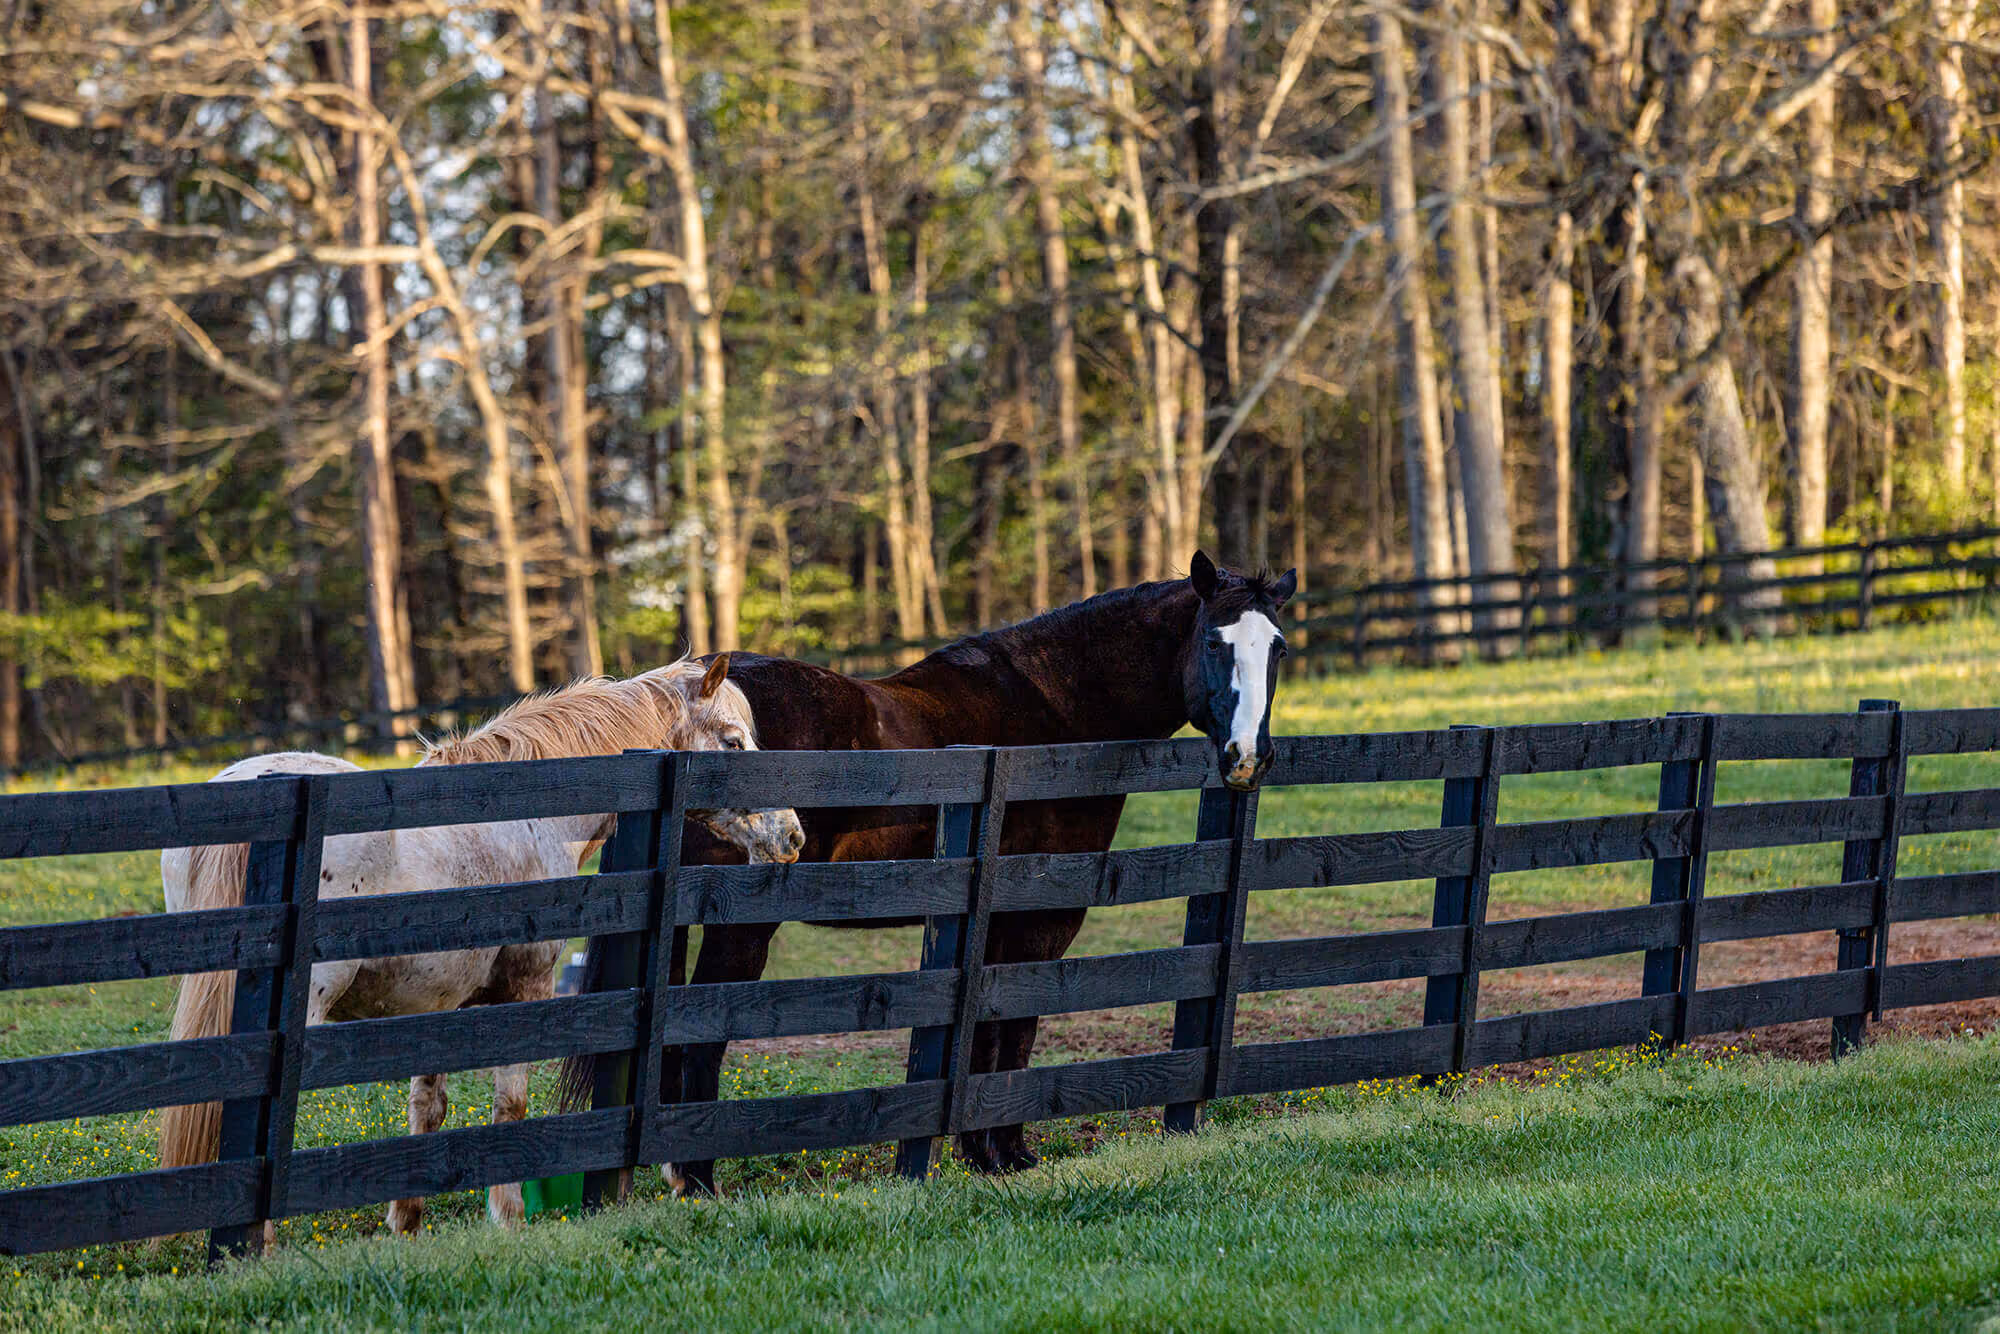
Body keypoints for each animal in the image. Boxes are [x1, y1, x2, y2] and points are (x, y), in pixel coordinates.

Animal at [157, 656, 805, 1239]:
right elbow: (509, 1107)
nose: (792, 834)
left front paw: (407, 1224)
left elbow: (428, 1108)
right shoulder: (525, 989)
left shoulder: (435, 1003)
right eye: (734, 741)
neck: (527, 816)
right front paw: (509, 1218)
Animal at [562, 551, 1295, 1190]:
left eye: (1278, 649)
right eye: (1214, 645)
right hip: (740, 925)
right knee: (700, 1037)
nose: (1247, 757)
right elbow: (1016, 1023)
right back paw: (698, 1179)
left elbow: (985, 1029)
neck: (1058, 712)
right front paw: (1007, 1152)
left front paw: (983, 1152)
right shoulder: (1043, 912)